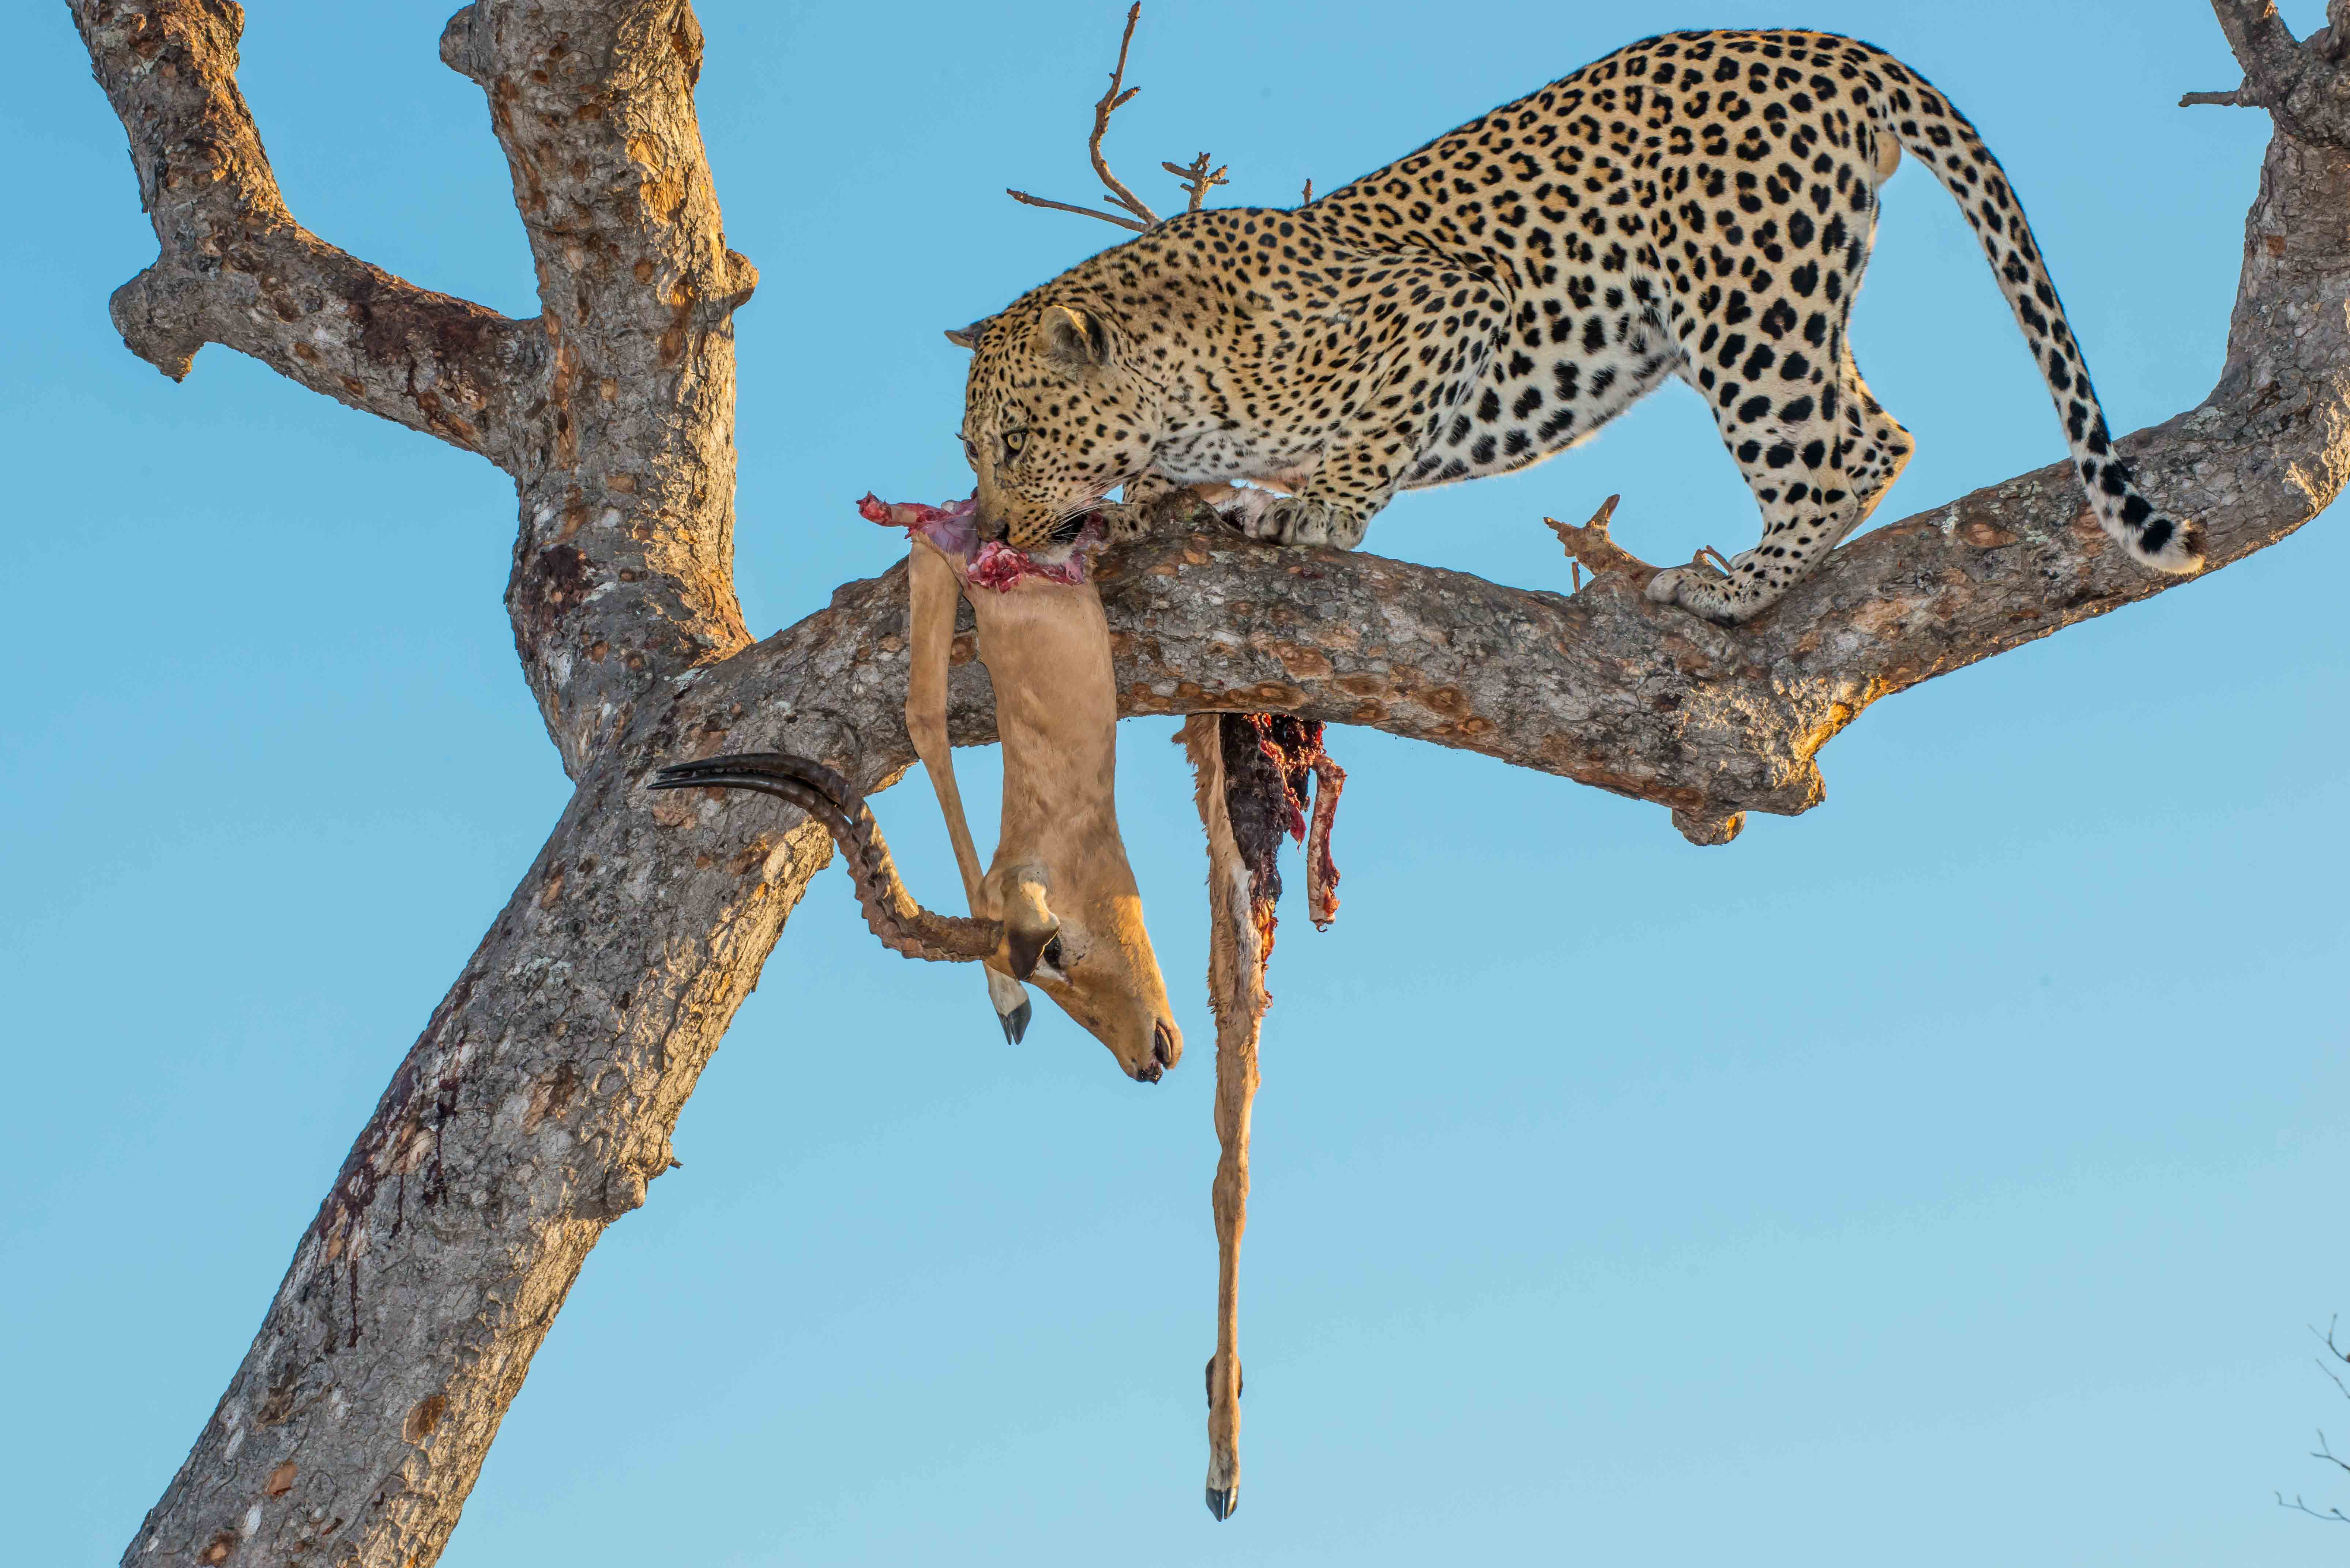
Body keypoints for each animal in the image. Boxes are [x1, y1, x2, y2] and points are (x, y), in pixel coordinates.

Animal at [940, 26, 2199, 625]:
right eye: (974, 453)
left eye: (1014, 442)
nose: (992, 529)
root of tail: (1826, 46)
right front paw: (1175, 499)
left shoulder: (1447, 302)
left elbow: (1371, 438)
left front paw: (1316, 513)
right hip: (1792, 291)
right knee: (1870, 423)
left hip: (1739, 302)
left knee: (1846, 448)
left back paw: (1732, 591)